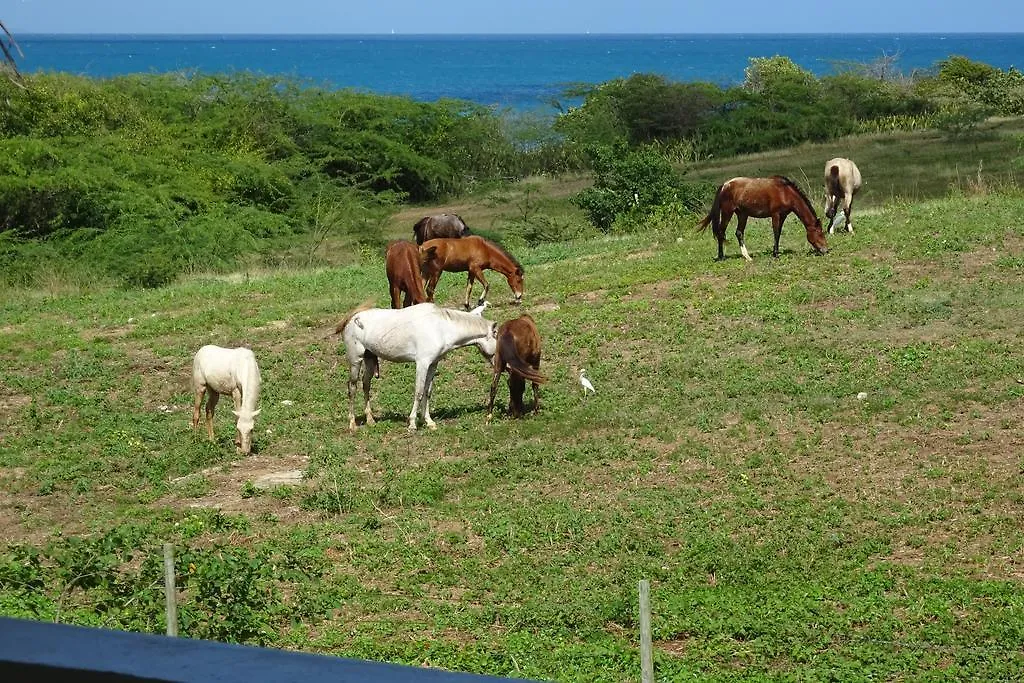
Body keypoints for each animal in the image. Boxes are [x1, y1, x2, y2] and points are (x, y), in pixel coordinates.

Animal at [333, 301, 497, 430]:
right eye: (497, 337)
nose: (497, 364)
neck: (441, 327)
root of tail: (352, 318)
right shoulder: (422, 363)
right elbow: (418, 392)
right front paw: (412, 423)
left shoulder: (433, 364)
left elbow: (427, 392)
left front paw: (429, 422)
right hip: (356, 360)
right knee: (352, 388)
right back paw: (352, 424)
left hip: (370, 359)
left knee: (366, 385)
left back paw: (370, 420)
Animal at [696, 176, 831, 262]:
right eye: (820, 233)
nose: (826, 250)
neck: (785, 192)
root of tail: (724, 185)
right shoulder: (776, 215)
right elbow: (776, 233)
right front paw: (776, 254)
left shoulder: (783, 215)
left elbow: (778, 233)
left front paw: (776, 252)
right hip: (727, 212)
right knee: (721, 232)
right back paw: (721, 256)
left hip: (742, 214)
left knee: (739, 233)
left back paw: (747, 257)